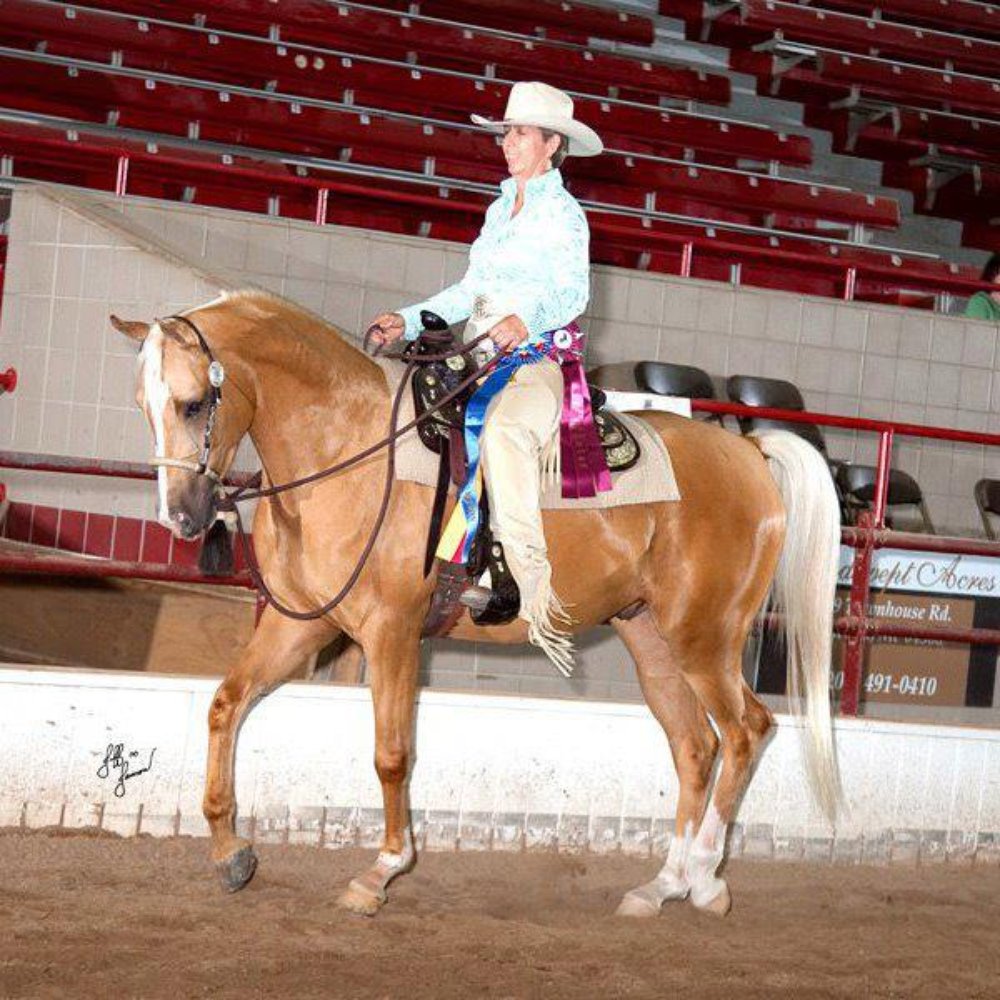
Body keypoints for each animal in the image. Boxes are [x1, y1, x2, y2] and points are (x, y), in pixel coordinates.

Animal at [111, 288, 841, 918]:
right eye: (143, 406)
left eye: (192, 404)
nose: (181, 518)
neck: (350, 450)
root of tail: (747, 450)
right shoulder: (305, 627)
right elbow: (226, 705)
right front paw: (230, 852)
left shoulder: (392, 632)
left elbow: (391, 754)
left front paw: (382, 872)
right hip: (651, 639)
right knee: (694, 746)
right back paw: (661, 886)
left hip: (706, 638)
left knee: (746, 731)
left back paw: (705, 879)